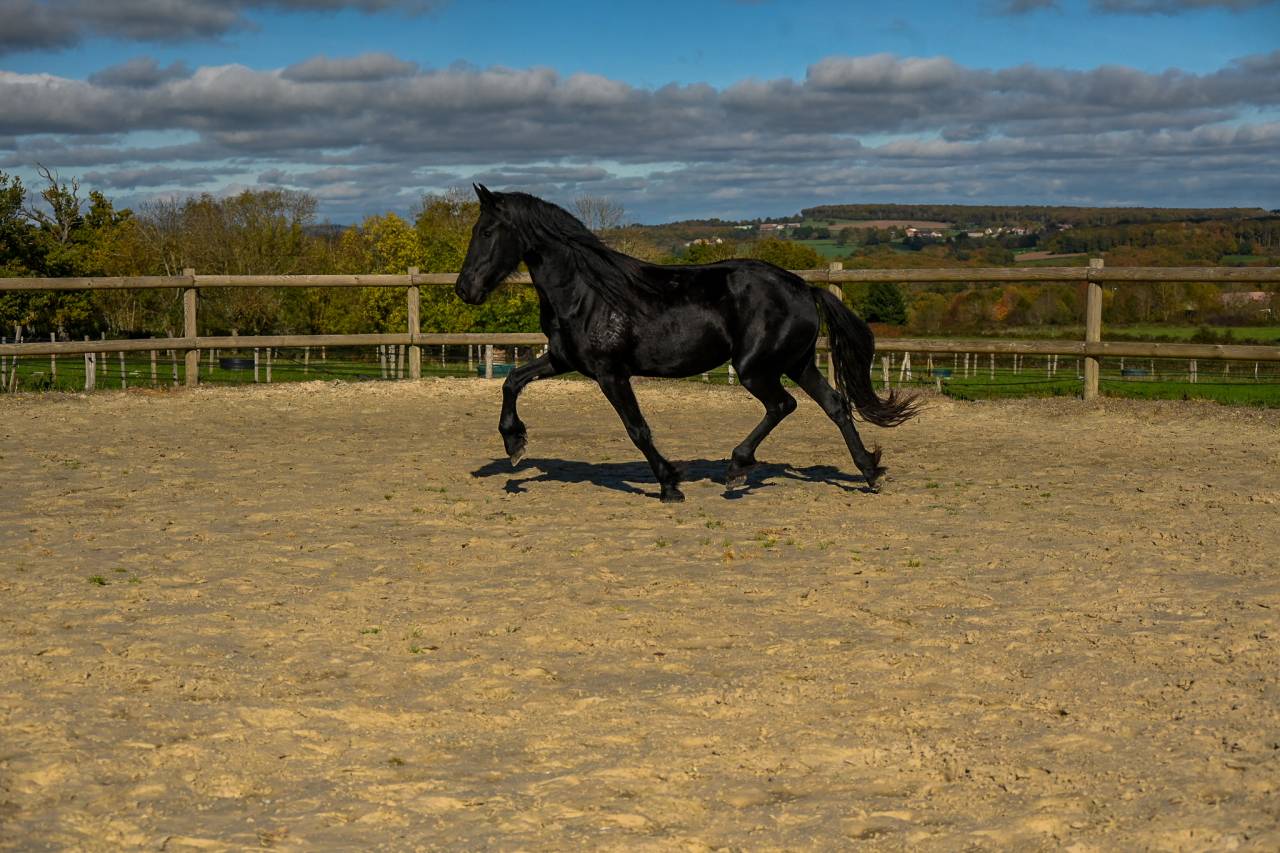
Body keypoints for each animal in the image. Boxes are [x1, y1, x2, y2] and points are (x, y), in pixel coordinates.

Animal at [455, 185, 919, 503]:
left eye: (488, 230)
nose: (464, 289)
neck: (586, 292)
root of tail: (804, 287)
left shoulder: (610, 372)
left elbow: (637, 428)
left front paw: (670, 484)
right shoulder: (563, 359)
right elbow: (512, 380)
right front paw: (515, 445)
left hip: (755, 368)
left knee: (783, 405)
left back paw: (736, 469)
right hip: (797, 363)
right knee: (836, 405)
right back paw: (869, 472)